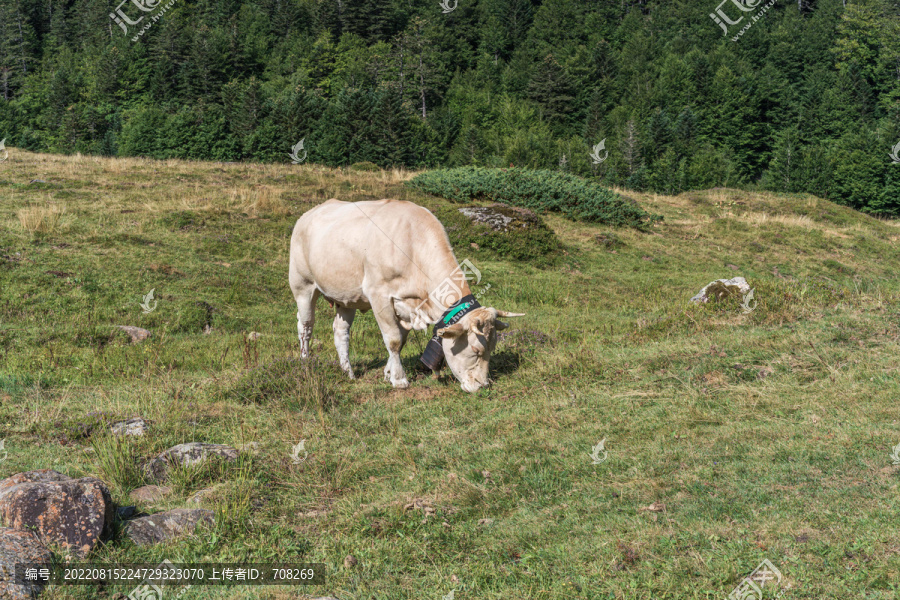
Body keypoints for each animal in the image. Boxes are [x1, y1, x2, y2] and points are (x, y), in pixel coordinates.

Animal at [288, 199, 524, 392]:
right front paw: (400, 379)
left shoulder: (406, 307)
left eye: (493, 348)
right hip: (302, 285)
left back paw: (348, 372)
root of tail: (310, 213)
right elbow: (392, 339)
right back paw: (305, 363)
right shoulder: (379, 294)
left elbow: (401, 340)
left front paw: (388, 373)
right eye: (475, 349)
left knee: (340, 331)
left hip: (346, 297)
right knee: (305, 326)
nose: (483, 385)